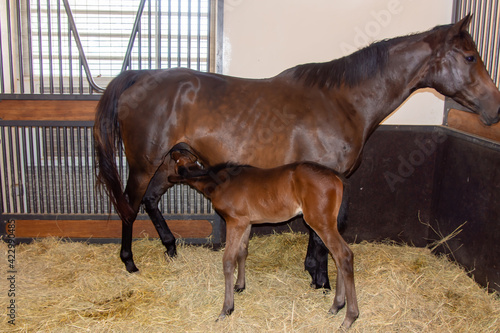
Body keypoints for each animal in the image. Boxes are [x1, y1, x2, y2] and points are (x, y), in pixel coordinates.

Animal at [170, 147, 358, 326]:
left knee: (344, 255)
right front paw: (240, 286)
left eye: (176, 161)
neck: (223, 182)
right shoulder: (246, 223)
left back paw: (349, 318)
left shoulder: (235, 222)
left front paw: (226, 309)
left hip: (321, 223)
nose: (170, 177)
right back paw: (337, 306)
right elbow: (242, 252)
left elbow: (228, 260)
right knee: (338, 257)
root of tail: (336, 175)